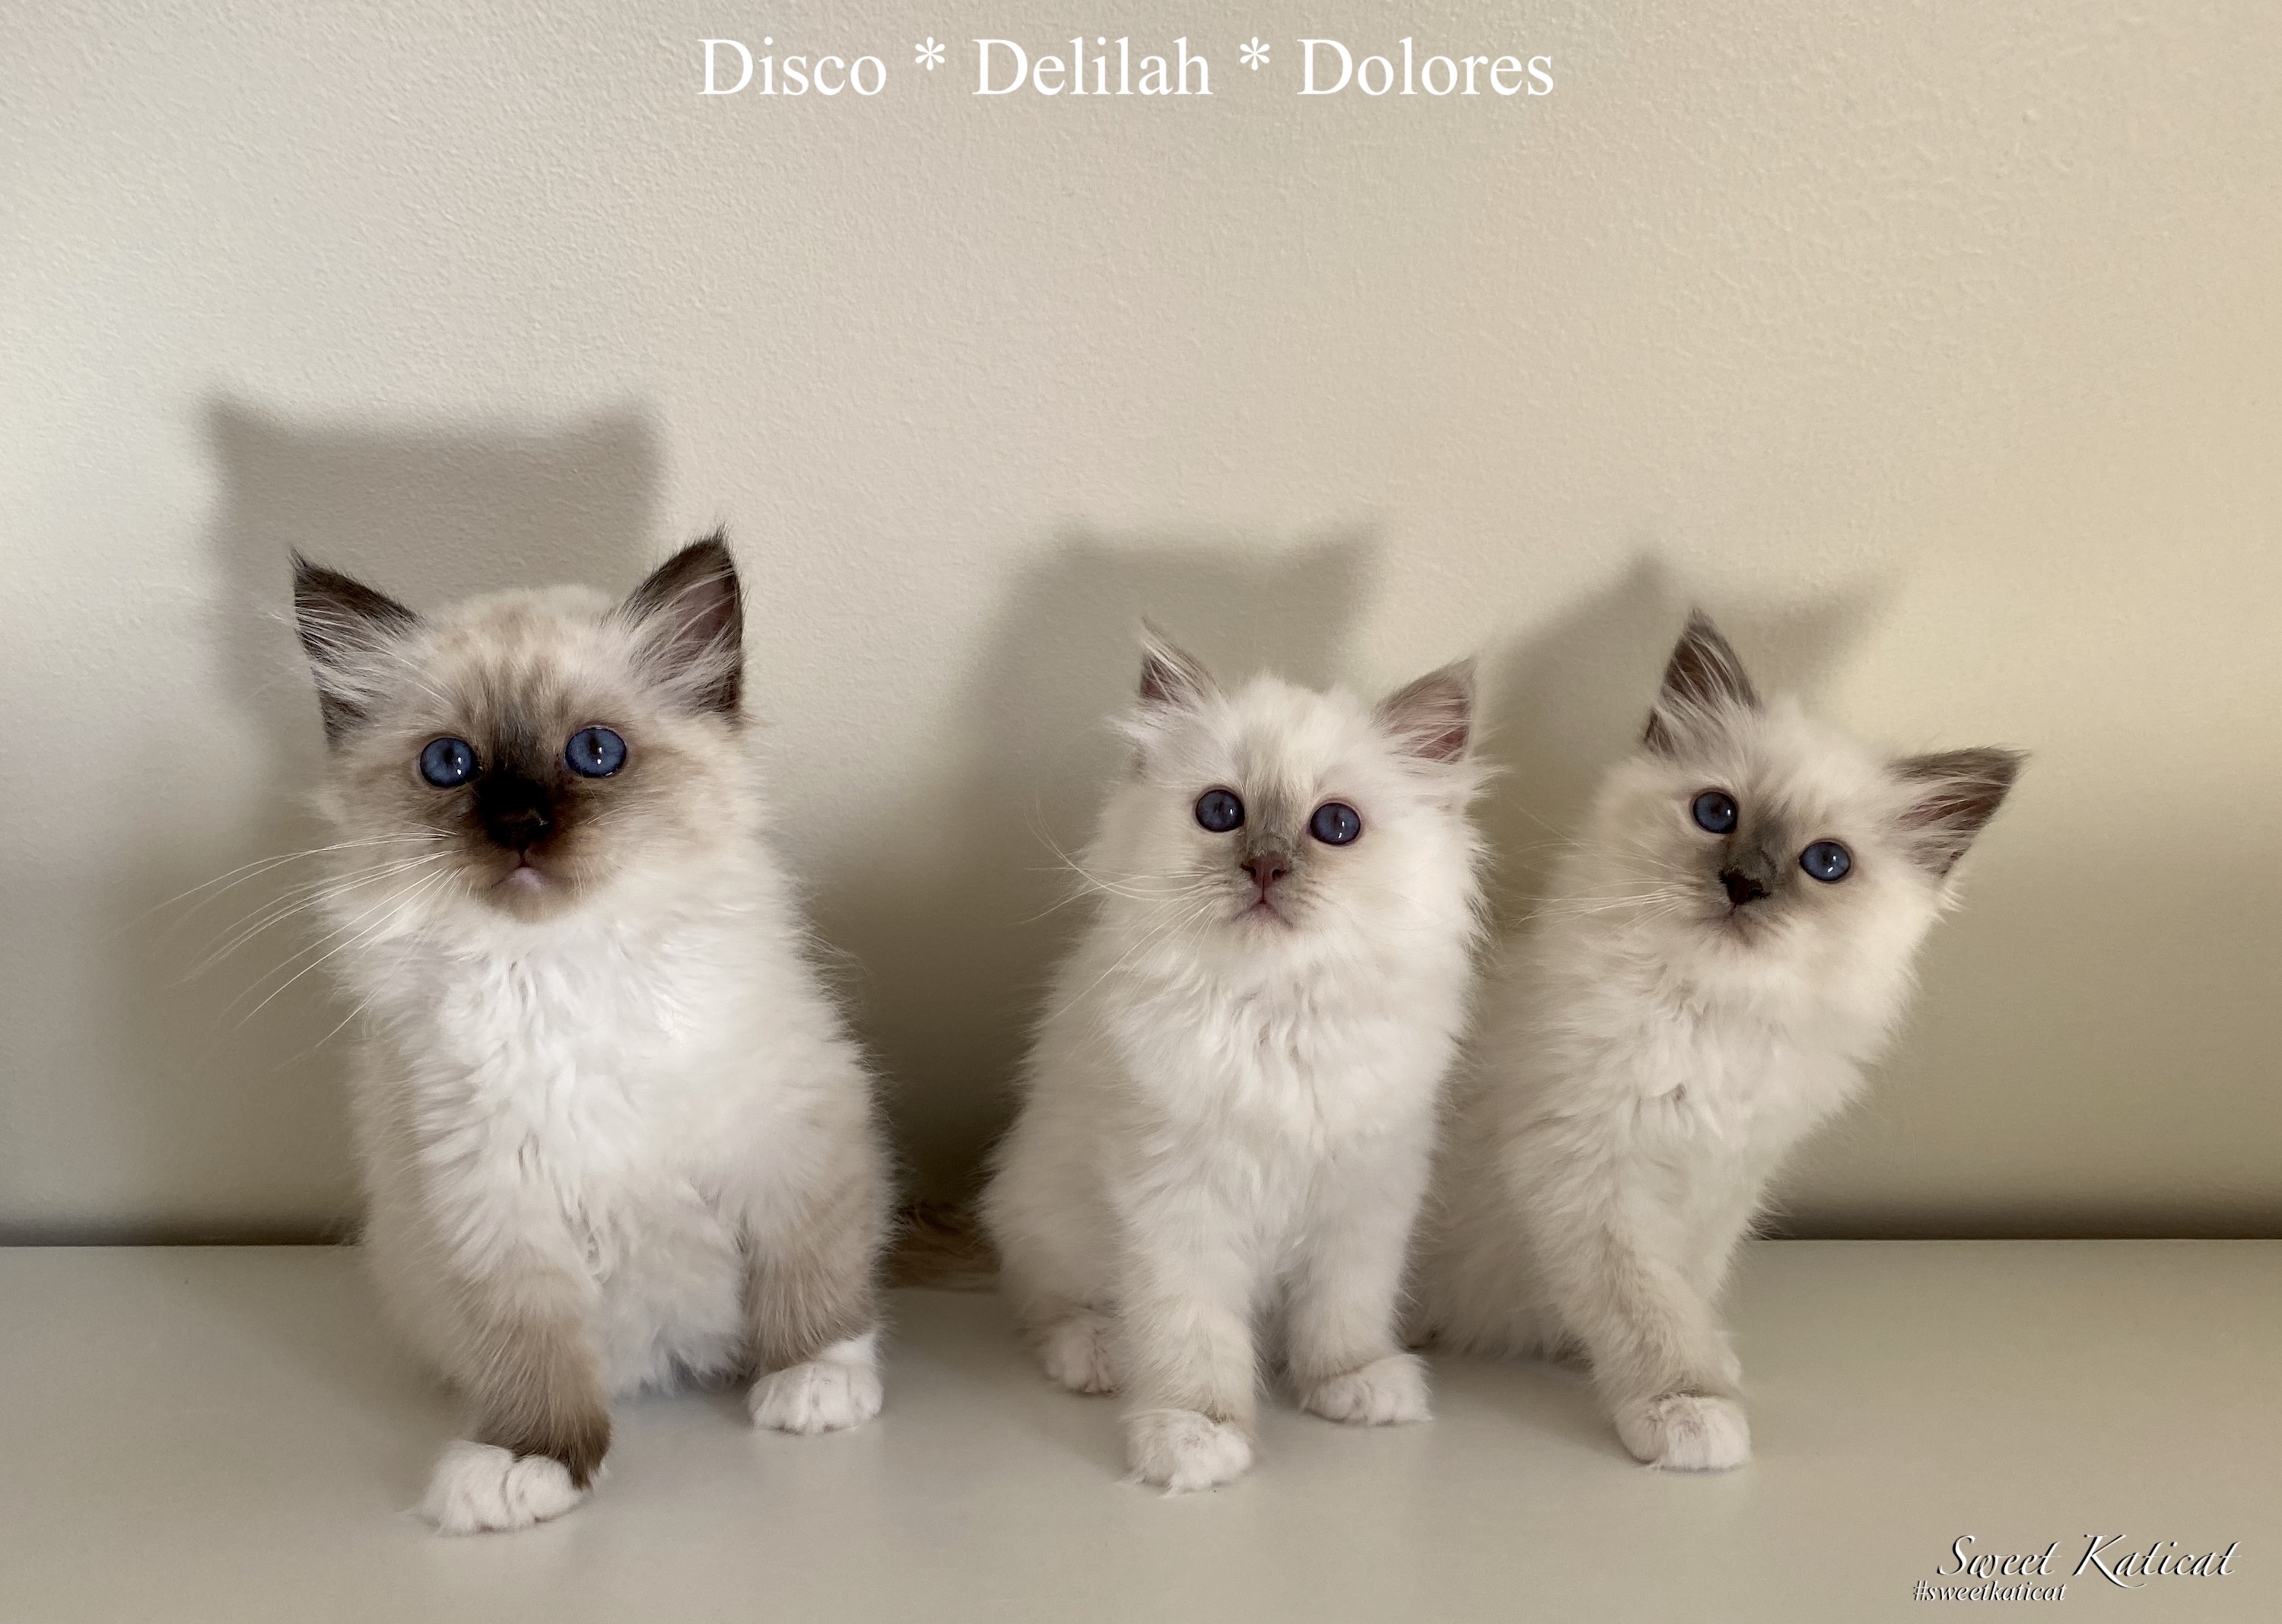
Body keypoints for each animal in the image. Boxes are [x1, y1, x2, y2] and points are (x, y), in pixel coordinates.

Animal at [291, 535, 889, 1533]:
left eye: (594, 752)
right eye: (451, 764)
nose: (520, 822)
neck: (559, 972)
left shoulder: (790, 1146)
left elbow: (810, 1276)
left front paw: (815, 1382)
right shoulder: (497, 1206)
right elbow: (534, 1356)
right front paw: (527, 1464)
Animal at [982, 628, 1487, 1492]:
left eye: (1337, 825)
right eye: (1221, 812)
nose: (1266, 866)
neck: (1273, 1018)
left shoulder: (1366, 1195)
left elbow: (1345, 1309)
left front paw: (1352, 1385)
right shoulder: (1179, 1204)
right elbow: (1195, 1338)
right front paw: (1195, 1437)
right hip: (1049, 1214)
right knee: (1050, 1304)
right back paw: (1099, 1353)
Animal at [1413, 612, 2022, 1470]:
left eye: (1825, 862)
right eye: (1717, 814)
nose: (1745, 883)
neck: (1711, 1017)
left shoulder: (1726, 1180)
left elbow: (1685, 1289)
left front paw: (1695, 1364)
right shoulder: (1594, 1177)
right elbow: (1648, 1309)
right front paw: (1688, 1409)